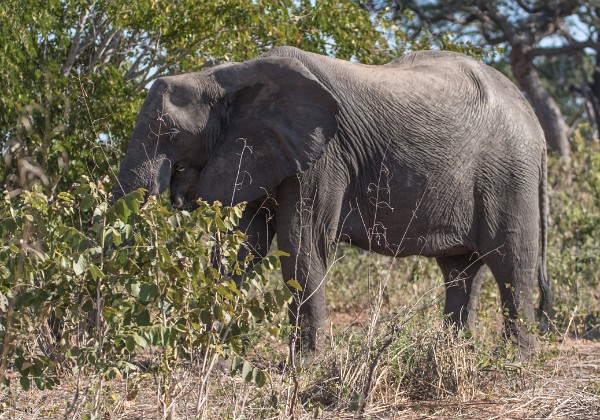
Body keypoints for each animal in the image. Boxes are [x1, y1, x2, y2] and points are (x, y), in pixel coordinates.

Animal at [112, 47, 552, 360]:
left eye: (170, 134)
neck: (224, 75)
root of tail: (533, 119)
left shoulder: (324, 156)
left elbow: (302, 243)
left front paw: (306, 366)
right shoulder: (266, 150)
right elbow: (245, 246)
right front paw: (206, 357)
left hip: (508, 174)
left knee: (511, 261)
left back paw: (514, 362)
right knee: (461, 270)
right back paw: (454, 354)